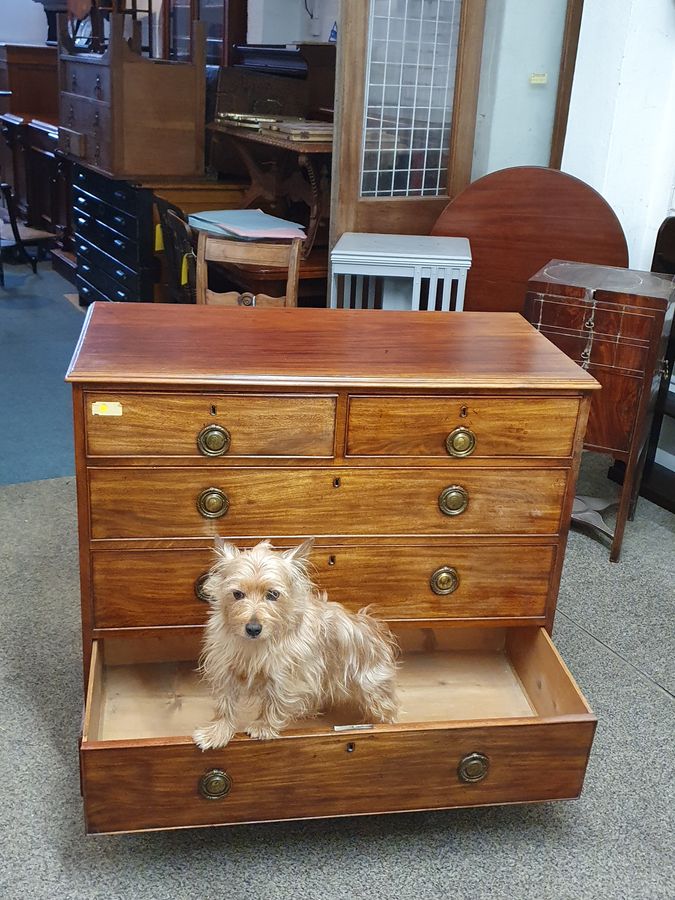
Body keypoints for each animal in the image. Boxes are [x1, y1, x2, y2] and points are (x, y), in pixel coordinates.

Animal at [193, 536, 398, 748]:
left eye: (273, 594)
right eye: (237, 594)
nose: (253, 629)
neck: (256, 646)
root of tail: (373, 626)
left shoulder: (284, 677)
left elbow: (274, 702)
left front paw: (264, 726)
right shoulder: (225, 669)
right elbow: (224, 704)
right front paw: (217, 731)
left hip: (373, 686)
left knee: (385, 708)